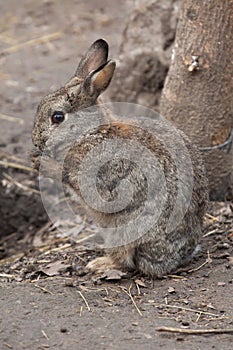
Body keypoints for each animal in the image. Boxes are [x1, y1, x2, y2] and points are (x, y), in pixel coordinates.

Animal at [31, 39, 208, 278]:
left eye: (57, 117)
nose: (35, 142)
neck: (89, 133)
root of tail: (175, 258)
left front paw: (40, 163)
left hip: (123, 229)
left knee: (126, 261)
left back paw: (100, 264)